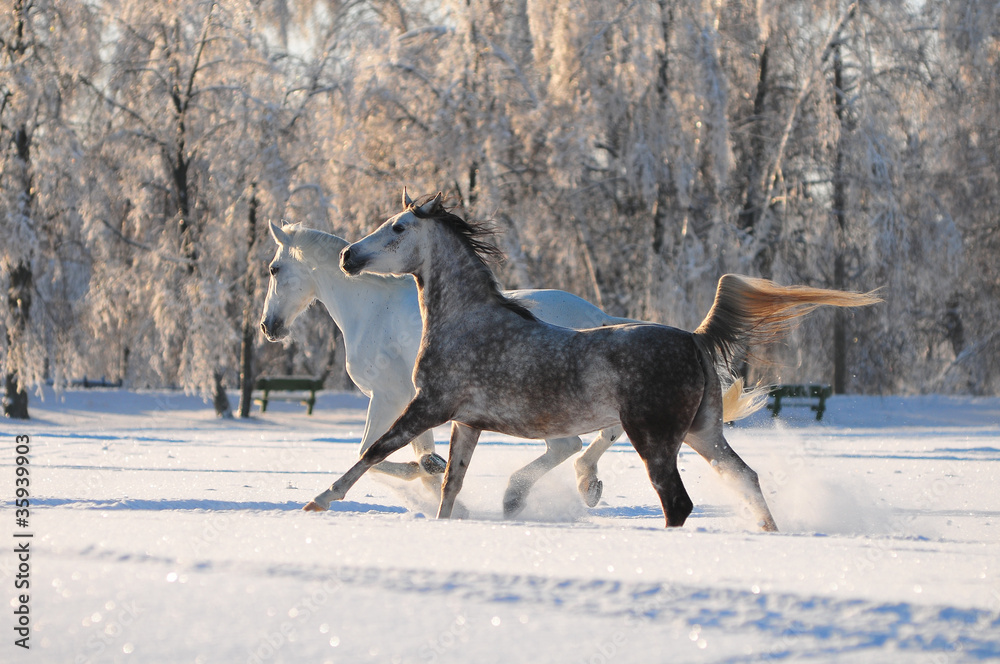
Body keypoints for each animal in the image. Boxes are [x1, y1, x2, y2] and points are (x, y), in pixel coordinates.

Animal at [260, 218, 632, 512]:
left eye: (273, 269)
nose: (268, 327)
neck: (370, 310)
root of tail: (598, 316)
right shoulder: (414, 400)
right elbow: (415, 453)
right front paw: (435, 476)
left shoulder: (387, 397)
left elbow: (368, 450)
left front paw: (428, 473)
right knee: (598, 437)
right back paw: (585, 485)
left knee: (572, 445)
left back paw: (535, 491)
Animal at [306, 193, 884, 528]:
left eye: (399, 228)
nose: (349, 256)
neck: (468, 321)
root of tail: (694, 339)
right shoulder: (467, 422)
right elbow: (451, 484)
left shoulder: (430, 405)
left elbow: (375, 452)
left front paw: (319, 502)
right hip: (703, 433)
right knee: (744, 477)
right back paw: (769, 532)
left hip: (654, 437)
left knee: (677, 502)